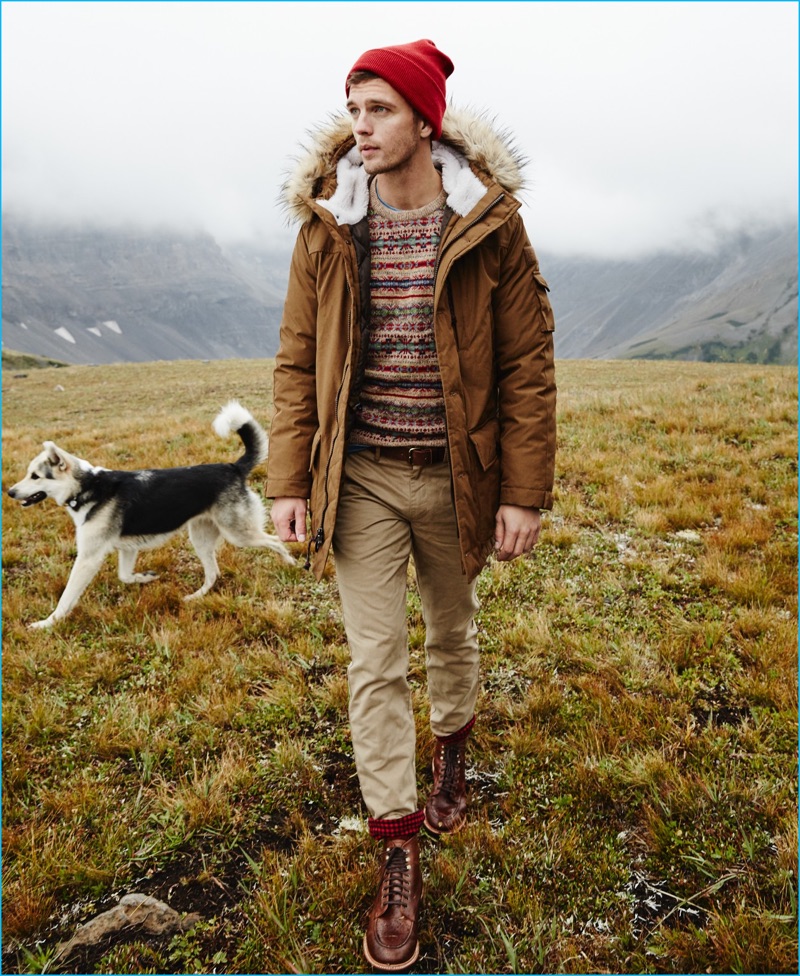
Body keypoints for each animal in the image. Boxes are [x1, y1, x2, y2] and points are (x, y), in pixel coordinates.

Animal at [7, 400, 296, 628]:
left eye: (35, 476)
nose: (10, 492)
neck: (88, 486)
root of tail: (233, 467)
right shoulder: (127, 549)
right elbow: (125, 576)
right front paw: (146, 578)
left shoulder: (88, 558)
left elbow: (66, 597)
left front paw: (47, 623)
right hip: (201, 537)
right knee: (213, 573)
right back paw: (195, 597)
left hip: (239, 534)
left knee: (275, 540)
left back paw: (291, 564)